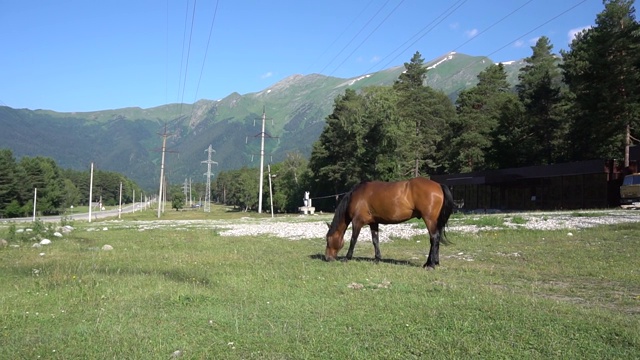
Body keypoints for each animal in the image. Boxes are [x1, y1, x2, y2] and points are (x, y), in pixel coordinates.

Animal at [324, 177, 456, 270]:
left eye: (328, 240)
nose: (327, 258)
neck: (357, 195)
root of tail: (438, 185)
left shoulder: (357, 222)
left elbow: (353, 240)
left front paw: (347, 258)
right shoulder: (374, 223)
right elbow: (375, 241)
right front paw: (377, 259)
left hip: (429, 219)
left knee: (434, 238)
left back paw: (431, 265)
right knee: (435, 239)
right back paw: (432, 262)